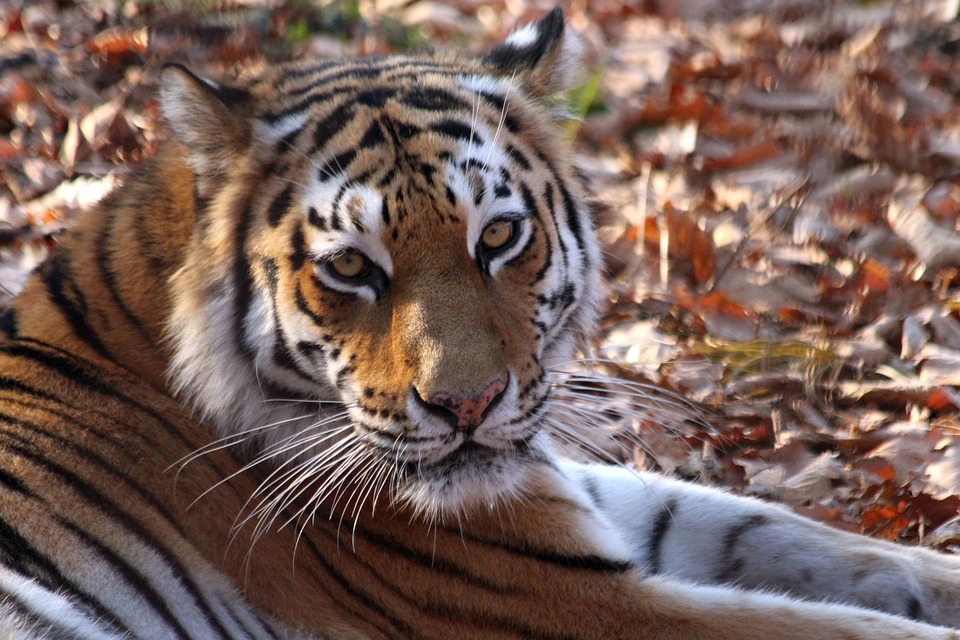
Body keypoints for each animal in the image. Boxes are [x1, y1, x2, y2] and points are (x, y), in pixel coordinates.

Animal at [2, 7, 960, 639]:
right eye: (349, 267)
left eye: (497, 237)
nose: (466, 406)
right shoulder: (566, 597)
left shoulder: (557, 490)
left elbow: (783, 532)